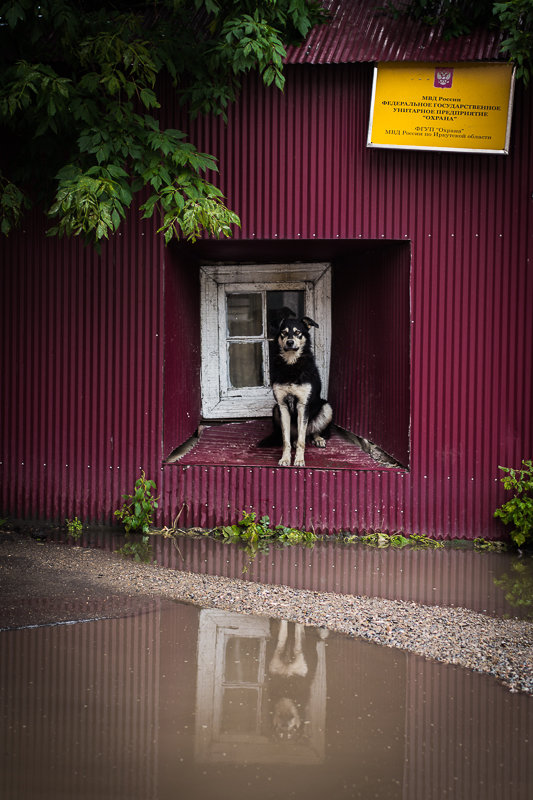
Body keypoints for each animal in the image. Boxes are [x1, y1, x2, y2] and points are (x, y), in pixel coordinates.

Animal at [260, 314, 330, 466]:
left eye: (298, 332)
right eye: (284, 333)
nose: (290, 342)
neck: (291, 364)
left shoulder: (303, 406)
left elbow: (301, 441)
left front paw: (299, 460)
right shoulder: (282, 406)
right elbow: (285, 440)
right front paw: (285, 458)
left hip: (326, 408)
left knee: (312, 431)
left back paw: (318, 438)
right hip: (275, 410)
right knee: (294, 437)